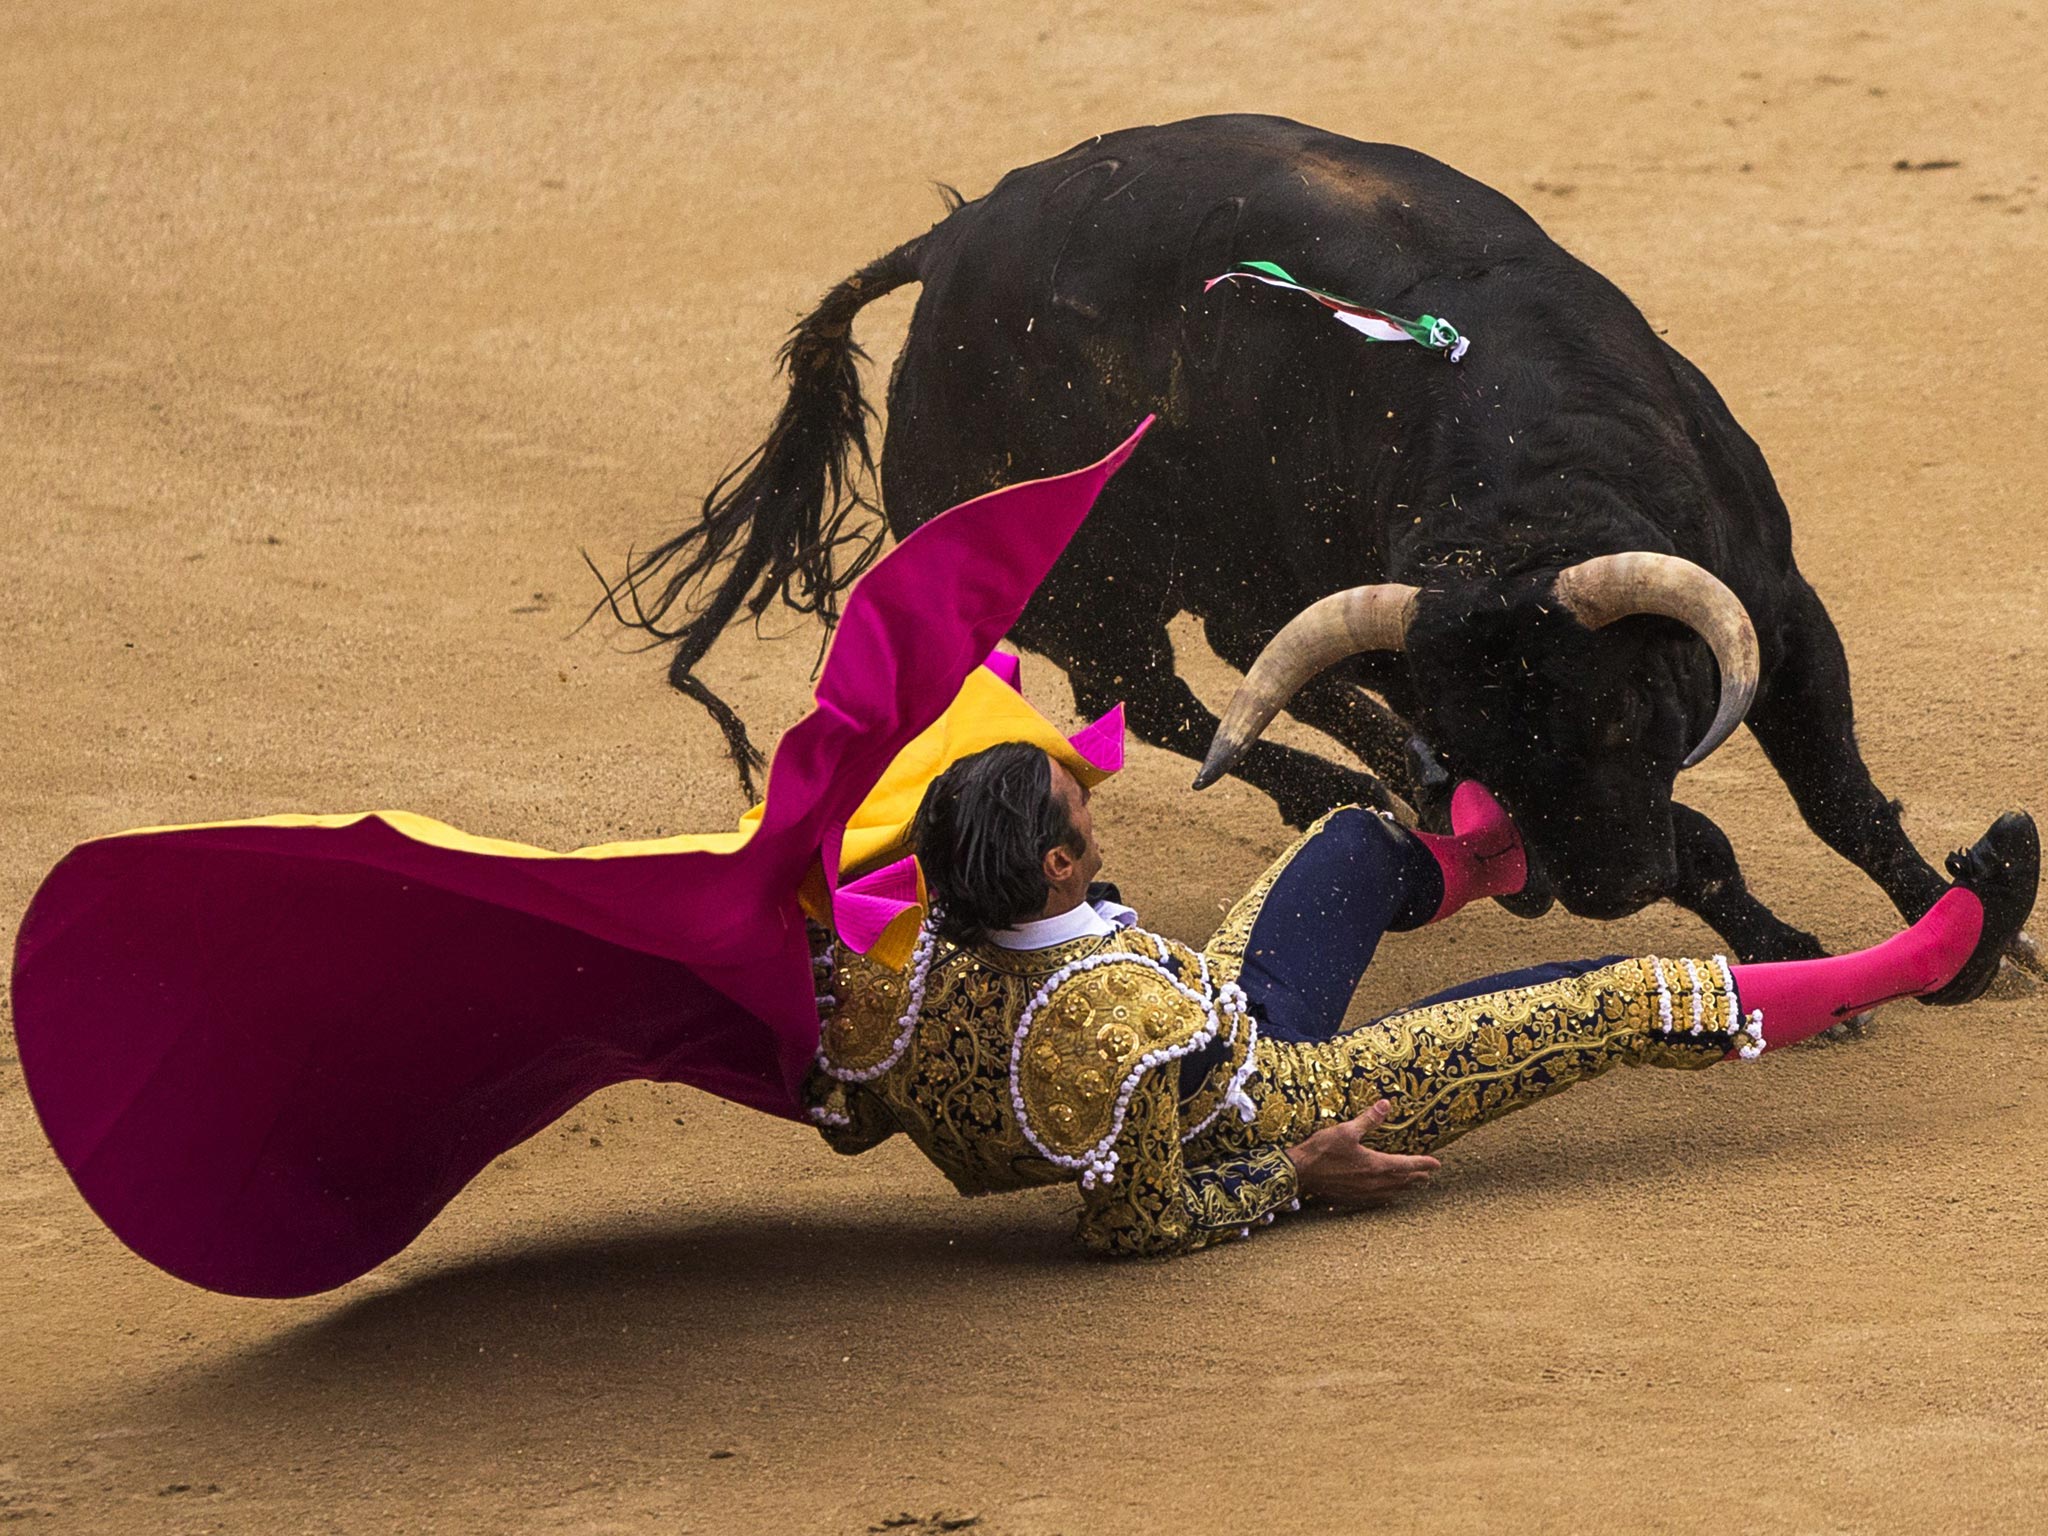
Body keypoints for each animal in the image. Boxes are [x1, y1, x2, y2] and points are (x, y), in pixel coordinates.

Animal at [610, 117, 1966, 962]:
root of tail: (947, 246)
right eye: (1490, 742)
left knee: (1221, 664)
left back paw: (1380, 792)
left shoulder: (1778, 610)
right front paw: (1801, 946)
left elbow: (1839, 797)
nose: (1602, 890)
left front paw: (1960, 921)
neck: (1524, 493)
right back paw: (1356, 793)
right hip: (1079, 582)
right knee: (1154, 695)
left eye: (1625, 712)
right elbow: (1715, 840)